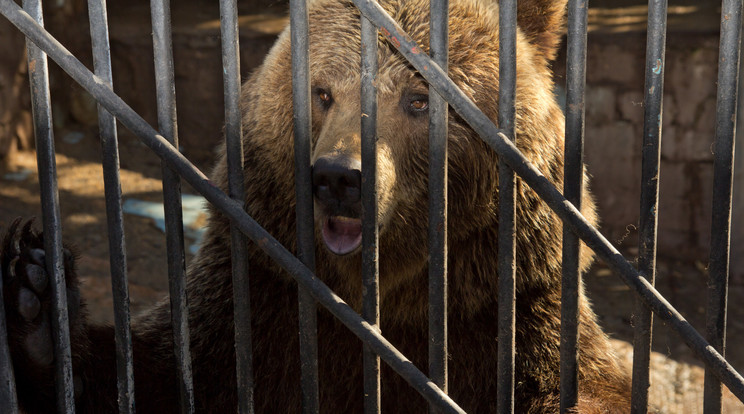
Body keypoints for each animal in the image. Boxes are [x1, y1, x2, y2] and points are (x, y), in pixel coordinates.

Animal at [0, 0, 632, 410]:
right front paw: (36, 293)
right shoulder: (260, 301)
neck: (389, 296)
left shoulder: (508, 310)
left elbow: (584, 386)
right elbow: (156, 370)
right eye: (322, 91)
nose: (337, 177)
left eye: (418, 99)